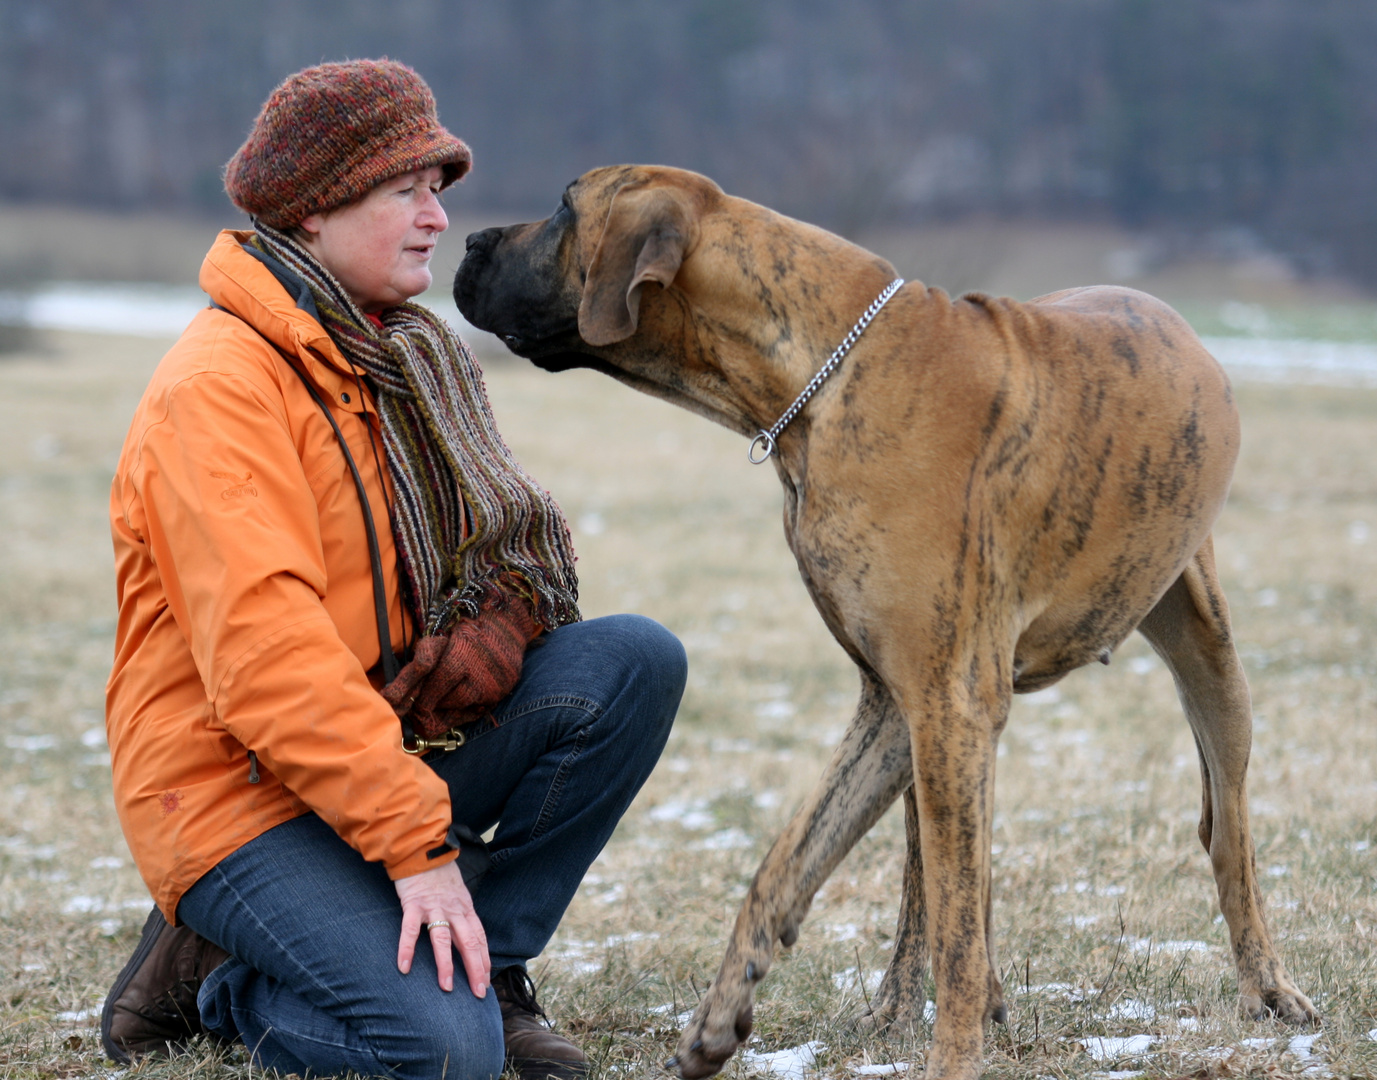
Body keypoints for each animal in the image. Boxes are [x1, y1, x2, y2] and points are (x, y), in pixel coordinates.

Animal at [454, 164, 1321, 1080]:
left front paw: (954, 1054)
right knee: (931, 874)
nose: (468, 240)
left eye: (563, 207)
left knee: (1226, 832)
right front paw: (718, 1021)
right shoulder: (895, 700)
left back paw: (1268, 987)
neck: (825, 375)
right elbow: (790, 866)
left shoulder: (943, 701)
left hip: (1208, 660)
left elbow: (952, 933)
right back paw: (906, 998)